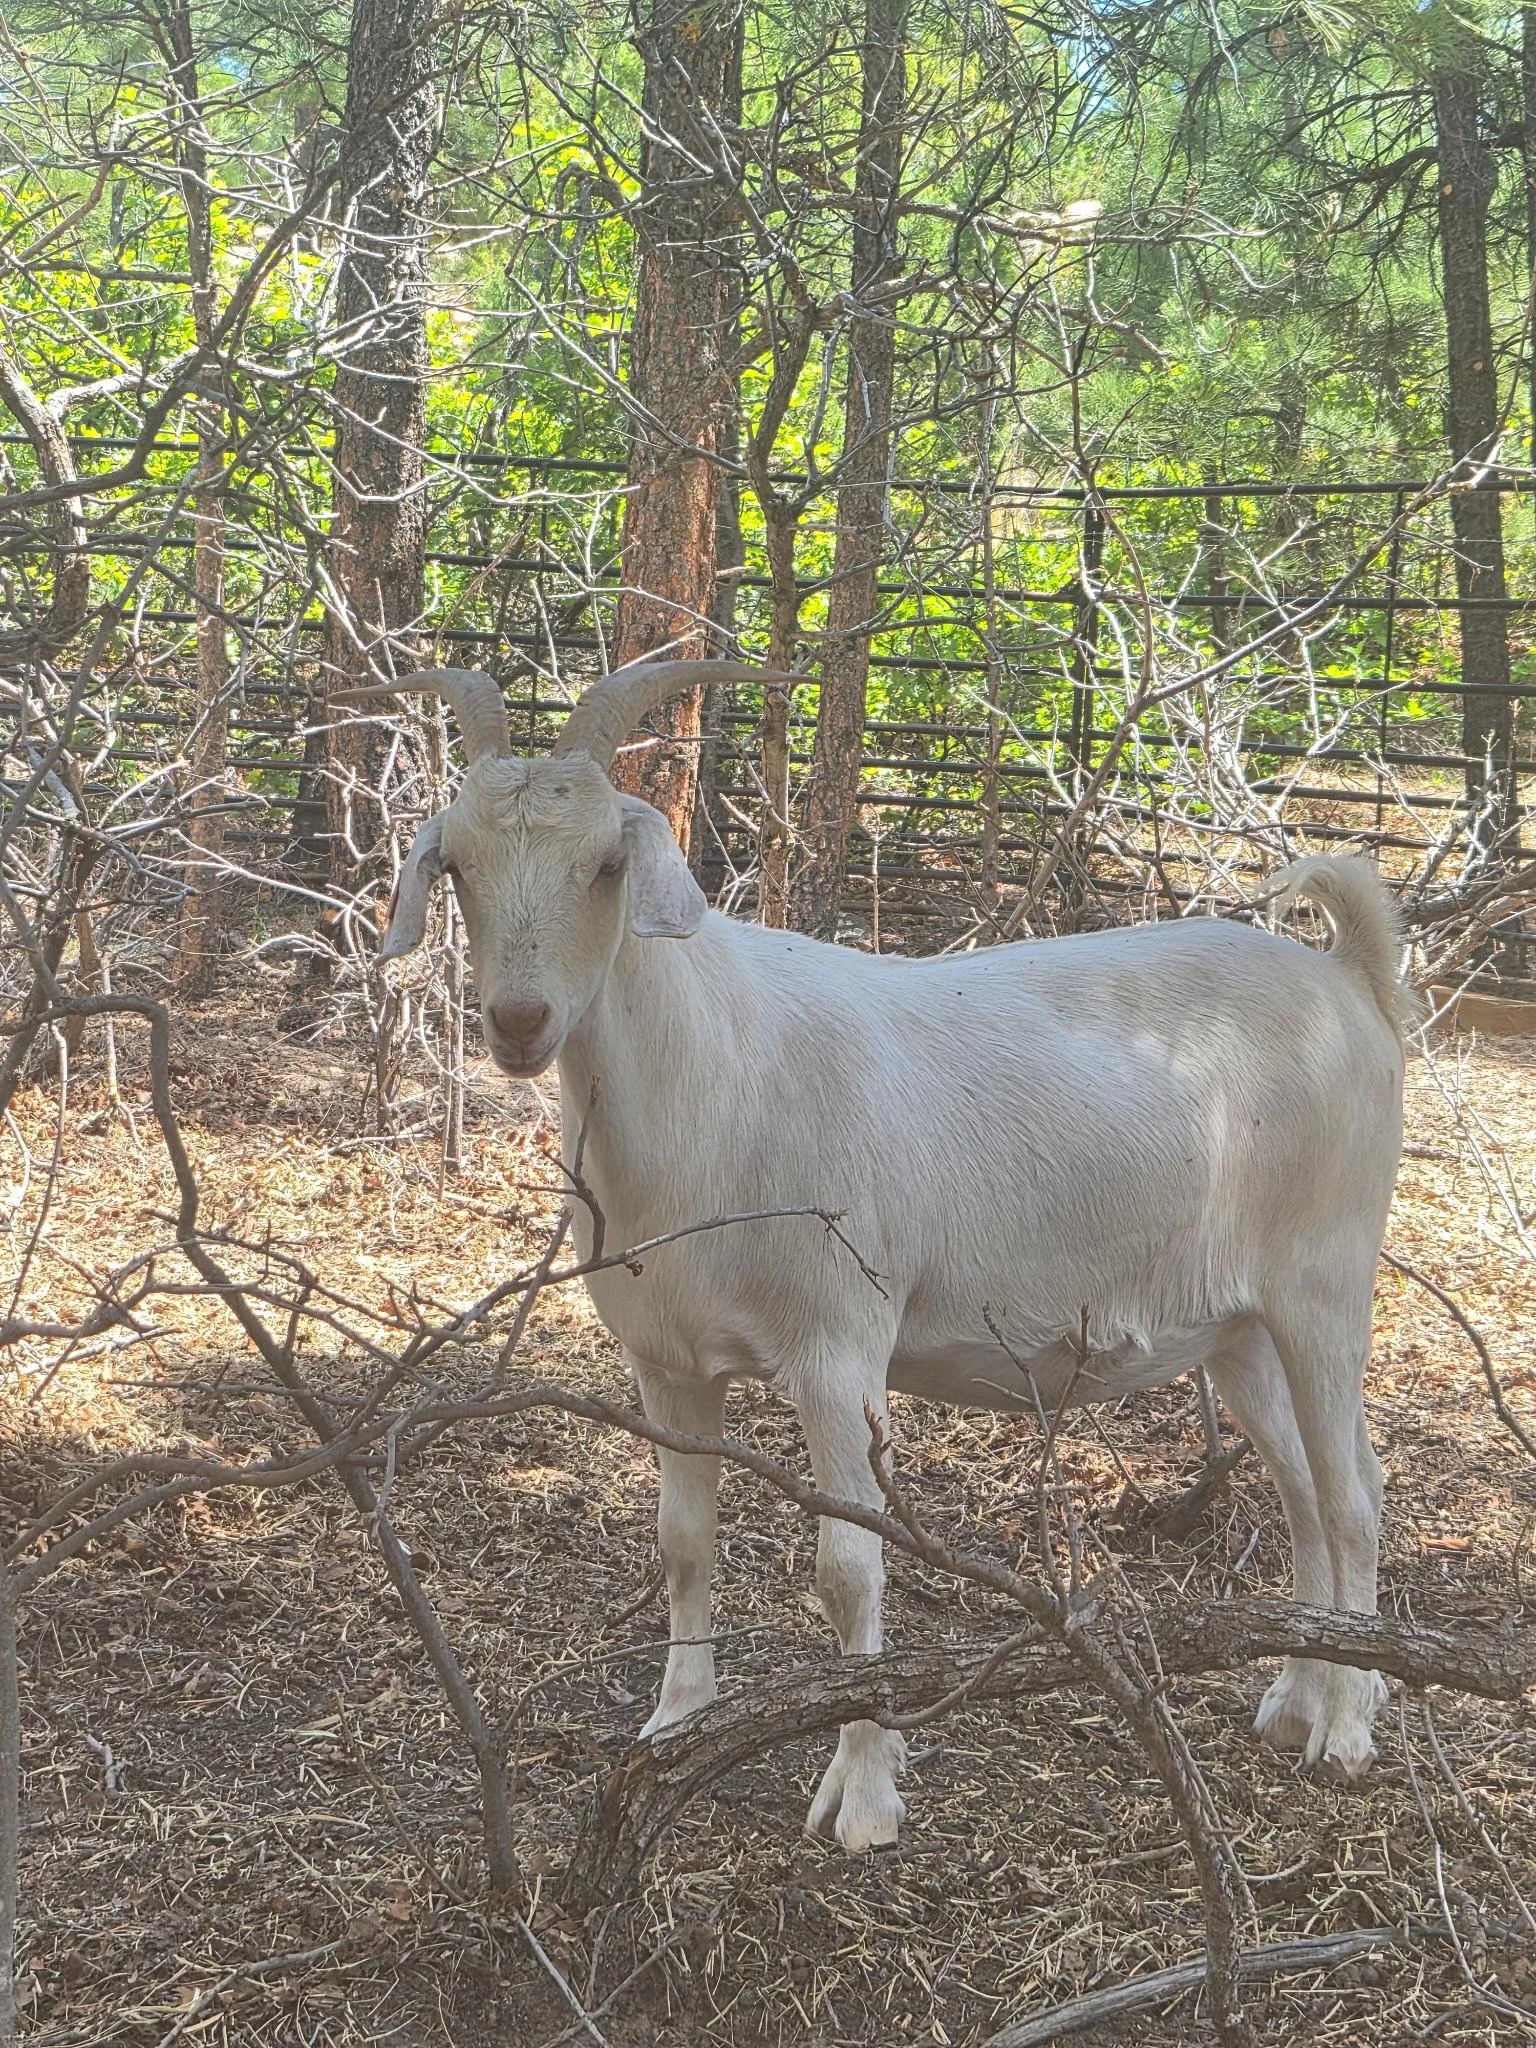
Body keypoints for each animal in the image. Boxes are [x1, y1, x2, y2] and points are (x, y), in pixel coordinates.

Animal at [362, 659, 1408, 1852]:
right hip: (1238, 1323)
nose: (521, 1021)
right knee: (1303, 1481)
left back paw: (1348, 1729)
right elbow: (682, 1539)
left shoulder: (838, 1344)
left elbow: (848, 1572)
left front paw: (861, 1796)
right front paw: (675, 1723)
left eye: (607, 863)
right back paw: (1297, 1695)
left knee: (1351, 1490)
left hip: (1325, 1281)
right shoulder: (666, 1361)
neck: (718, 1077)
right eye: (458, 866)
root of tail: (1351, 981)